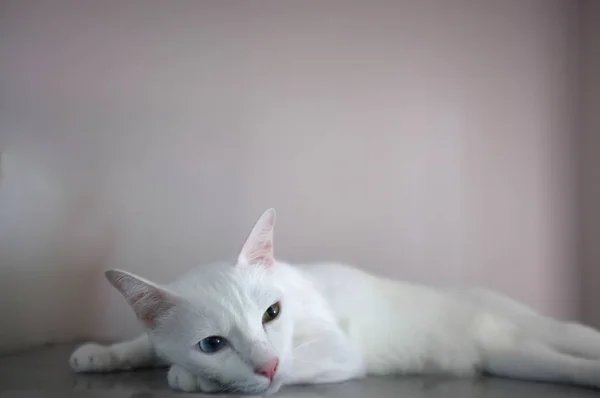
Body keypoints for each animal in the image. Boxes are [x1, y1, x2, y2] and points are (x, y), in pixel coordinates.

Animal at [70, 210, 600, 394]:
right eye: (213, 343)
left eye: (272, 314)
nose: (265, 365)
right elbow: (145, 343)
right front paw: (101, 354)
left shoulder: (338, 351)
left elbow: (293, 366)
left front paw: (190, 378)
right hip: (514, 357)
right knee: (560, 361)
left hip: (529, 337)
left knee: (578, 340)